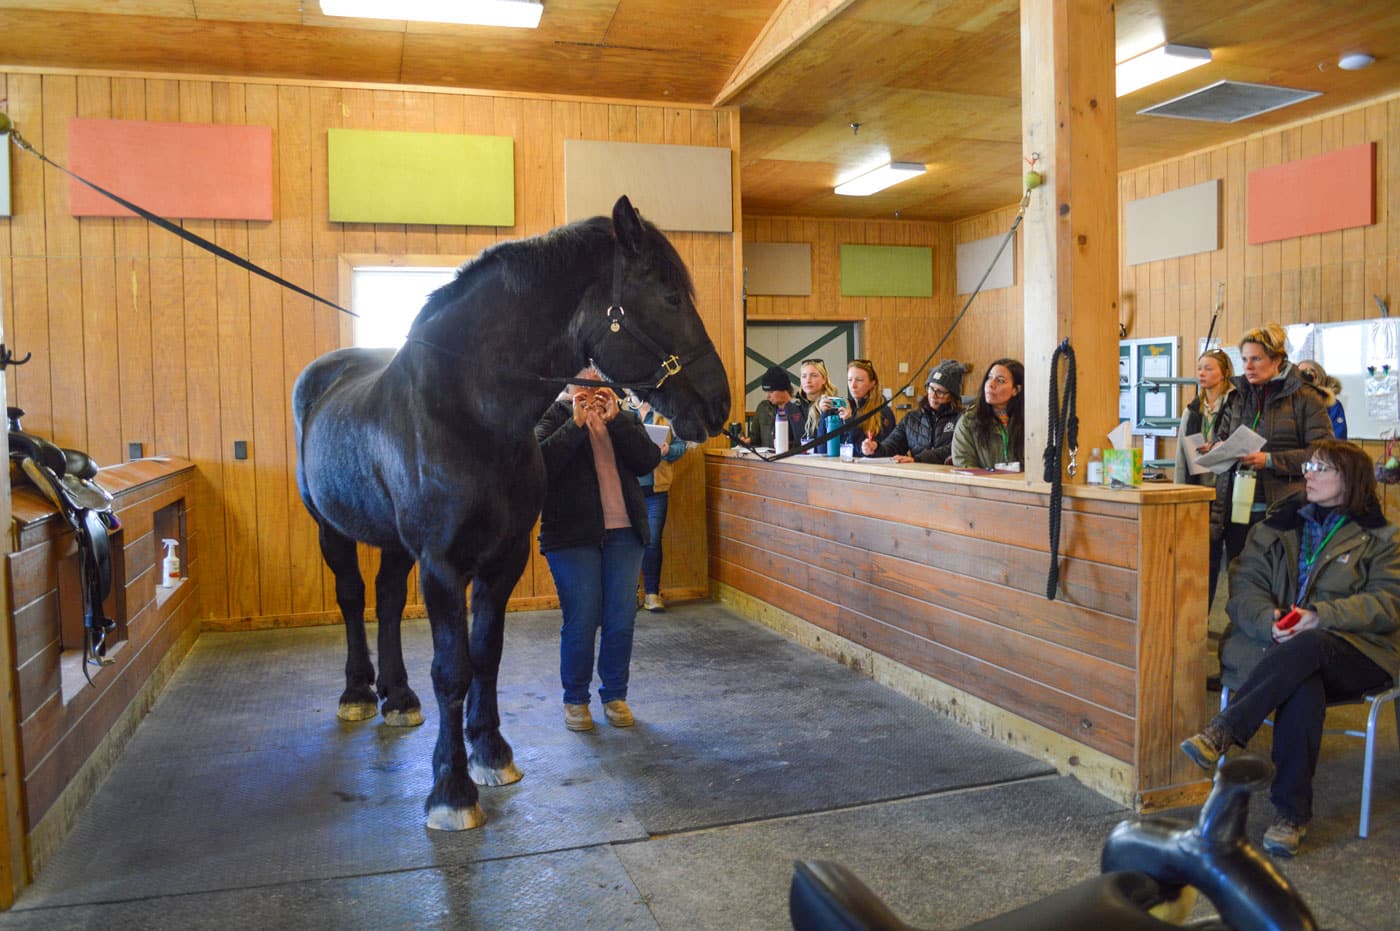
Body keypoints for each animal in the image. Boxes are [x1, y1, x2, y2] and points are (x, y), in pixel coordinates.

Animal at [293, 196, 730, 831]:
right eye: (669, 295)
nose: (719, 404)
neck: (470, 411)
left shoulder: (505, 558)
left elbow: (486, 655)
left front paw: (492, 754)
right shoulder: (443, 565)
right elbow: (452, 668)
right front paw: (451, 791)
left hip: (397, 544)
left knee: (390, 601)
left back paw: (398, 700)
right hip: (332, 529)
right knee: (353, 597)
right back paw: (357, 695)